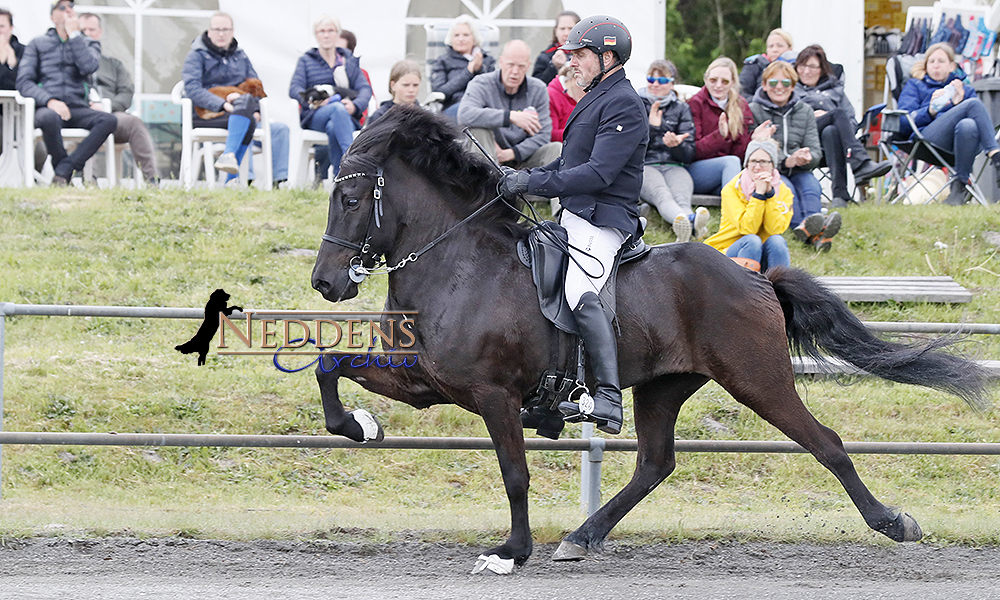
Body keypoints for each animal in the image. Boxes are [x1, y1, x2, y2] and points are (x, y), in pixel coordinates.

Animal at [312, 103, 992, 572]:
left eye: (352, 197)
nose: (325, 282)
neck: (457, 262)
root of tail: (755, 276)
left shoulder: (493, 394)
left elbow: (514, 472)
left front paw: (511, 551)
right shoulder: (428, 381)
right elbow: (332, 363)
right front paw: (359, 427)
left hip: (757, 379)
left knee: (825, 443)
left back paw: (893, 523)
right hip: (665, 385)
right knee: (654, 463)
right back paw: (581, 537)